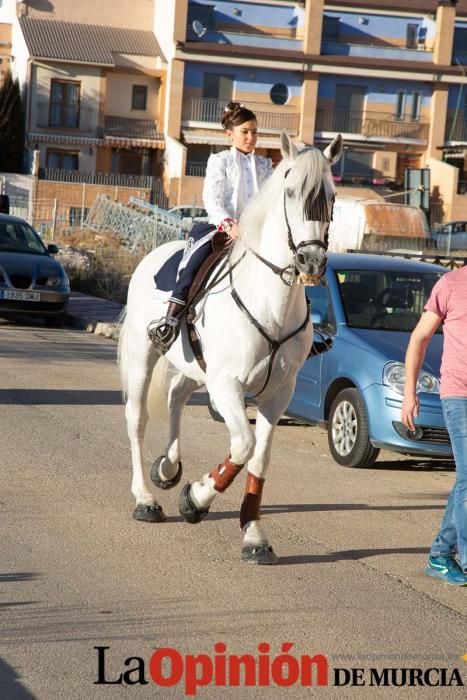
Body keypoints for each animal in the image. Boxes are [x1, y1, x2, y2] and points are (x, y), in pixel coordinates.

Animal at [118, 134, 344, 568]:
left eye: (332, 196)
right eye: (291, 192)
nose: (311, 261)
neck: (271, 302)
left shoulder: (278, 395)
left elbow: (258, 459)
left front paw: (254, 536)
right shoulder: (228, 385)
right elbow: (243, 445)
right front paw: (195, 500)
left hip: (194, 369)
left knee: (175, 397)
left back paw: (168, 467)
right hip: (143, 355)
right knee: (137, 419)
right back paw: (145, 499)